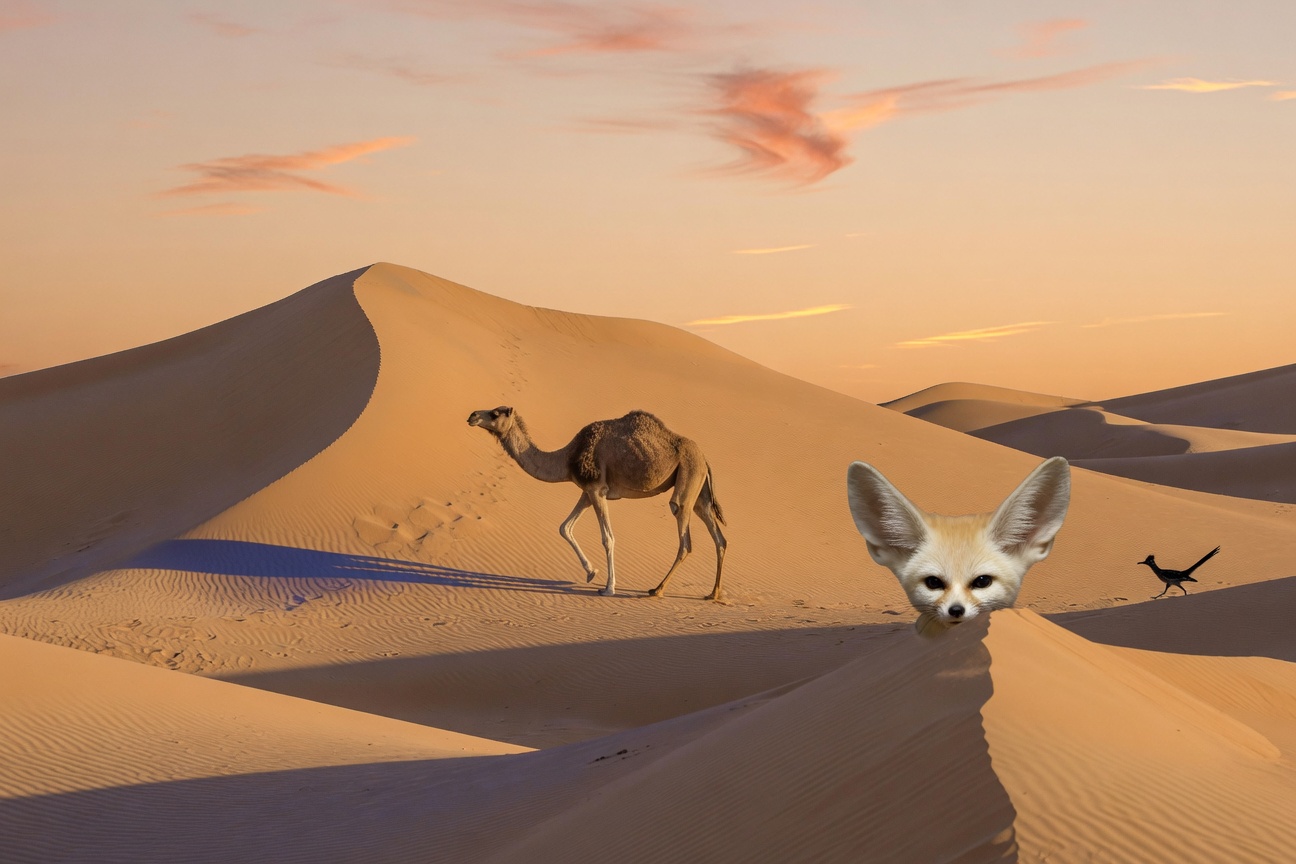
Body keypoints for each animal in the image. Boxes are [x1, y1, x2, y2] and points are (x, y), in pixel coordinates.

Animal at [467, 406, 727, 599]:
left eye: (495, 413)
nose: (472, 415)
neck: (568, 457)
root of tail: (705, 458)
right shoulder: (587, 491)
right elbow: (564, 527)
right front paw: (591, 573)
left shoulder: (596, 490)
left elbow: (607, 538)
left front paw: (608, 587)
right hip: (699, 490)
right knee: (719, 537)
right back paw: (713, 594)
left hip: (687, 479)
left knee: (684, 538)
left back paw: (657, 589)